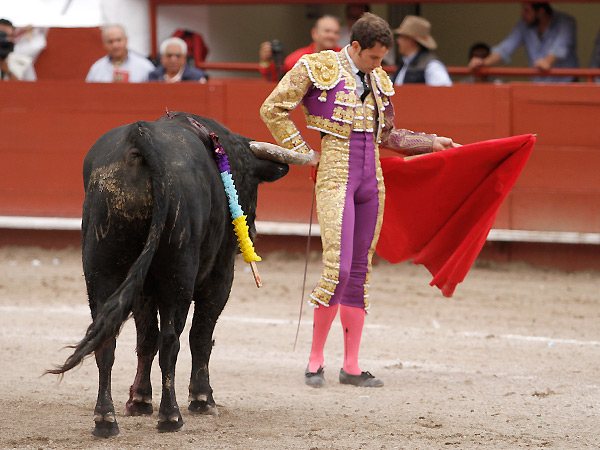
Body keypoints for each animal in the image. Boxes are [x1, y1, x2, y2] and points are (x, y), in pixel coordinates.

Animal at [49, 111, 312, 436]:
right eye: (250, 181)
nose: (251, 228)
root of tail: (140, 138)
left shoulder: (143, 289)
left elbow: (145, 339)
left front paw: (139, 399)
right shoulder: (220, 275)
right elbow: (200, 335)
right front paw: (202, 399)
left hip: (102, 270)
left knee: (106, 340)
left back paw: (105, 419)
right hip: (178, 275)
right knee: (171, 341)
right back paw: (170, 416)